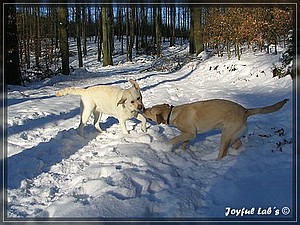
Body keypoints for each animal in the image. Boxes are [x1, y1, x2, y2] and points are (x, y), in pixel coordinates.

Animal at [144, 98, 290, 160]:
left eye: (150, 111)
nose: (143, 109)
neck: (173, 113)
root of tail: (245, 110)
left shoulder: (190, 133)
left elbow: (174, 139)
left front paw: (164, 147)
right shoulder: (188, 134)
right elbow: (184, 143)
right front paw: (182, 151)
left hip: (226, 135)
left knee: (222, 153)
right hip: (232, 134)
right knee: (238, 144)